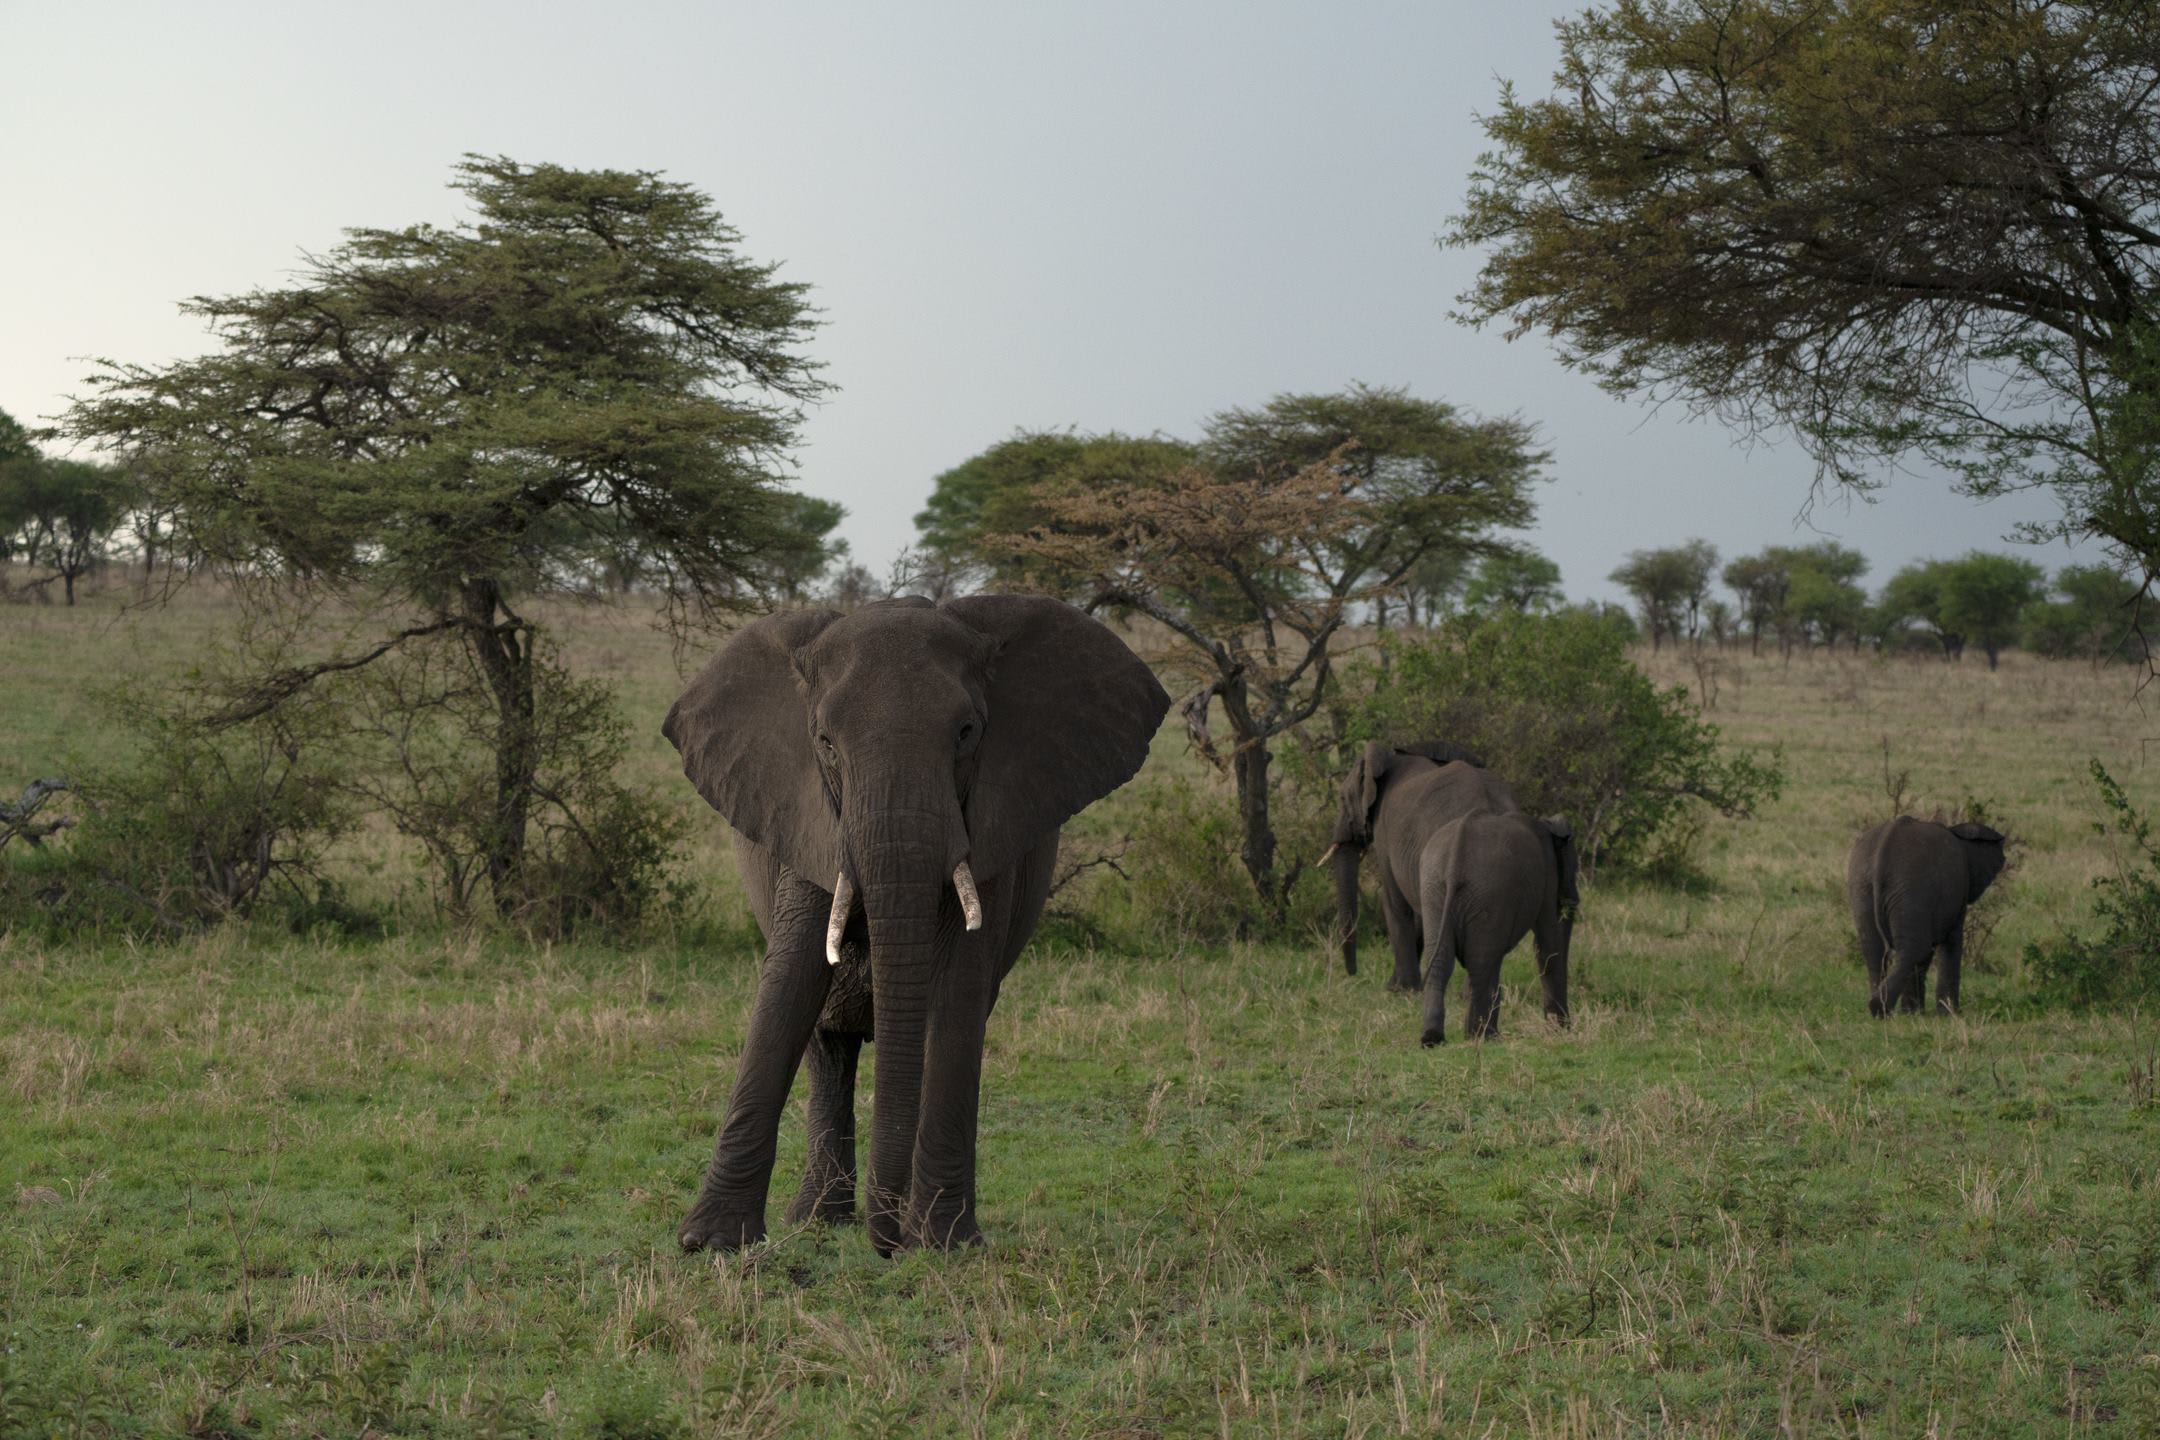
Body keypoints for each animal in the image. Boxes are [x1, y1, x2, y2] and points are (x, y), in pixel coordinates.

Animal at [662, 595, 1169, 1254]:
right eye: (824, 741)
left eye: (967, 732)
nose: (887, 1244)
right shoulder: (810, 819)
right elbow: (791, 980)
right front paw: (711, 1243)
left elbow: (956, 991)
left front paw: (944, 1243)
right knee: (828, 1043)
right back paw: (820, 1222)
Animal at [1847, 816, 2007, 1016]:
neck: (1957, 831)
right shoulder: (1957, 893)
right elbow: (1951, 942)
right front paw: (1950, 1015)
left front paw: (1916, 1014)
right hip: (1913, 888)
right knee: (1916, 949)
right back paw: (1881, 1009)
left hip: (1862, 886)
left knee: (1875, 951)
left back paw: (1882, 1010)